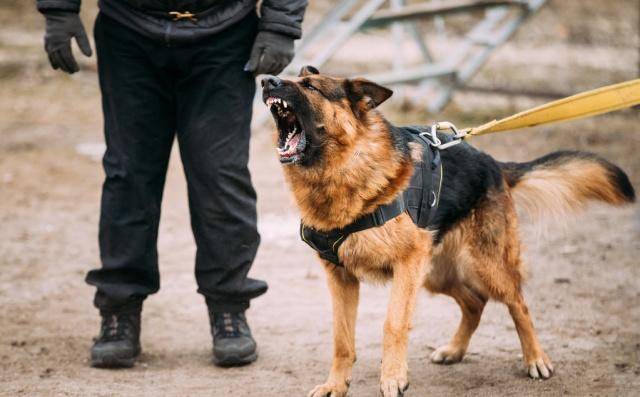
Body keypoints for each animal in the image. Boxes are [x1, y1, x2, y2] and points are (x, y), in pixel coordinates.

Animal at [260, 66, 636, 394]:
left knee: (517, 303)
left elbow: (393, 324)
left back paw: (536, 359)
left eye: (311, 87)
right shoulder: (340, 276)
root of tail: (494, 165)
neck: (345, 168)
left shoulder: (406, 265)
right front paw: (336, 386)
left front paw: (393, 378)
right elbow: (341, 339)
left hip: (483, 265)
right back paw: (455, 350)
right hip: (435, 274)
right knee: (474, 303)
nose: (266, 80)